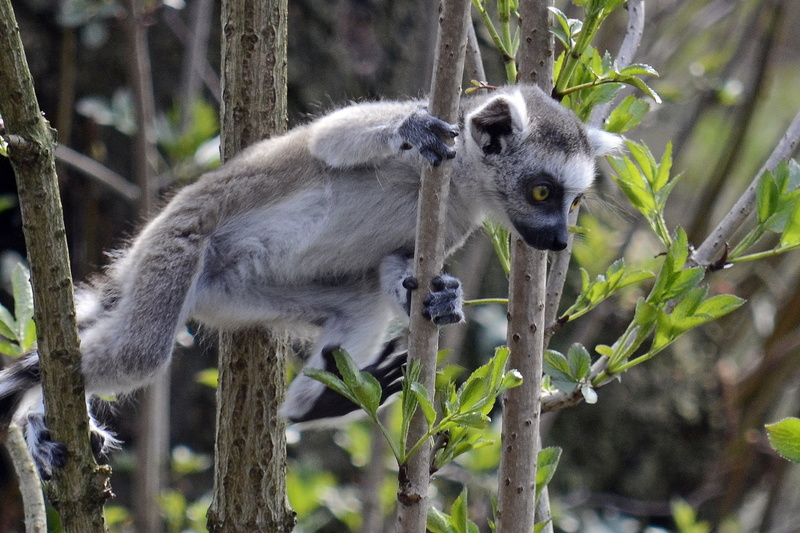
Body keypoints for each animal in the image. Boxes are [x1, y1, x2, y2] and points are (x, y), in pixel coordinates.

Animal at [0, 84, 620, 478]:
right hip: (176, 248)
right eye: (542, 192)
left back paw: (316, 404)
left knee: (361, 303)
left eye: (573, 201)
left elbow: (394, 269)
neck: (463, 183)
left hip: (238, 297)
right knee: (138, 352)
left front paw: (443, 299)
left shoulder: (448, 224)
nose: (558, 241)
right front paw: (411, 127)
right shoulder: (432, 166)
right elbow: (330, 140)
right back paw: (34, 410)